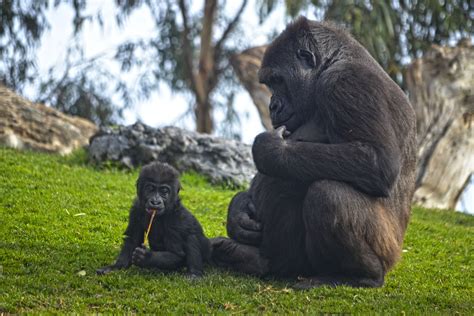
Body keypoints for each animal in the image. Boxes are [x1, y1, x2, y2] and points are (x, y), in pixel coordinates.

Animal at [211, 17, 414, 288]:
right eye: (270, 83)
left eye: (278, 80)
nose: (272, 106)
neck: (334, 61)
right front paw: (239, 211)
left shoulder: (346, 81)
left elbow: (377, 162)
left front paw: (270, 150)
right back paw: (245, 256)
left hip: (386, 250)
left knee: (326, 194)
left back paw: (361, 275)